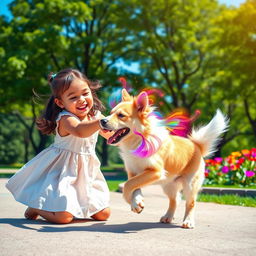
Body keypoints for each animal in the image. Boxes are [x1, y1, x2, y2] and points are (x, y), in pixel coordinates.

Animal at [101, 88, 229, 228]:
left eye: (121, 115)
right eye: (110, 113)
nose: (102, 121)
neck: (138, 141)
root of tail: (197, 145)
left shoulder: (156, 171)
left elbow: (128, 185)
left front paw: (134, 202)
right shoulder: (133, 171)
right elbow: (133, 185)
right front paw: (137, 202)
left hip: (189, 184)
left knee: (190, 202)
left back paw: (188, 221)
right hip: (169, 185)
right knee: (175, 200)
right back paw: (168, 217)